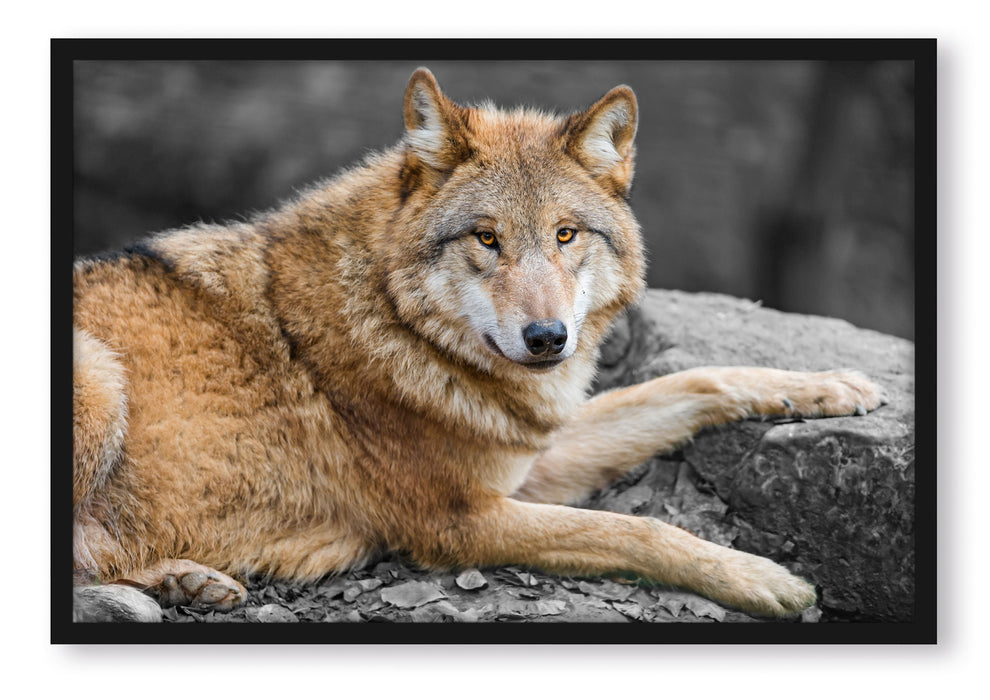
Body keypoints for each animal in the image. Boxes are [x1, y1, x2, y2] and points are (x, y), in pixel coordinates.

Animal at [72, 68, 883, 620]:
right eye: (487, 239)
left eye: (565, 234)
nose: (547, 338)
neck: (397, 322)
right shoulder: (463, 520)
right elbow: (639, 530)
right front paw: (765, 578)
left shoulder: (530, 457)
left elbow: (695, 381)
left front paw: (831, 386)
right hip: (99, 378)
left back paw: (188, 579)